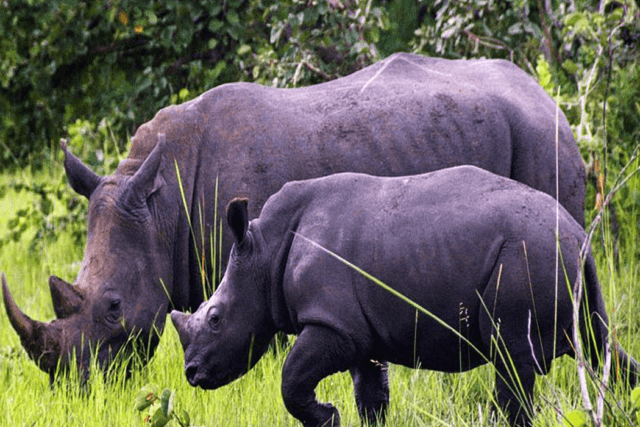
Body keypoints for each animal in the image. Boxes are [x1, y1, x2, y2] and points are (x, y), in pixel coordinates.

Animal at [3, 52, 586, 380]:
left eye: (114, 307)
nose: (76, 387)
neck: (161, 206)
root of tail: (544, 93)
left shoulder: (254, 262)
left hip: (544, 140)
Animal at [171, 166, 637, 427]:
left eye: (216, 318)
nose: (191, 374)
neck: (264, 253)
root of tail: (578, 236)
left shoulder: (332, 323)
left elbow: (291, 378)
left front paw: (328, 417)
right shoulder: (360, 334)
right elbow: (372, 399)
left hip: (527, 256)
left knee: (511, 361)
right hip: (563, 265)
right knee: (601, 346)